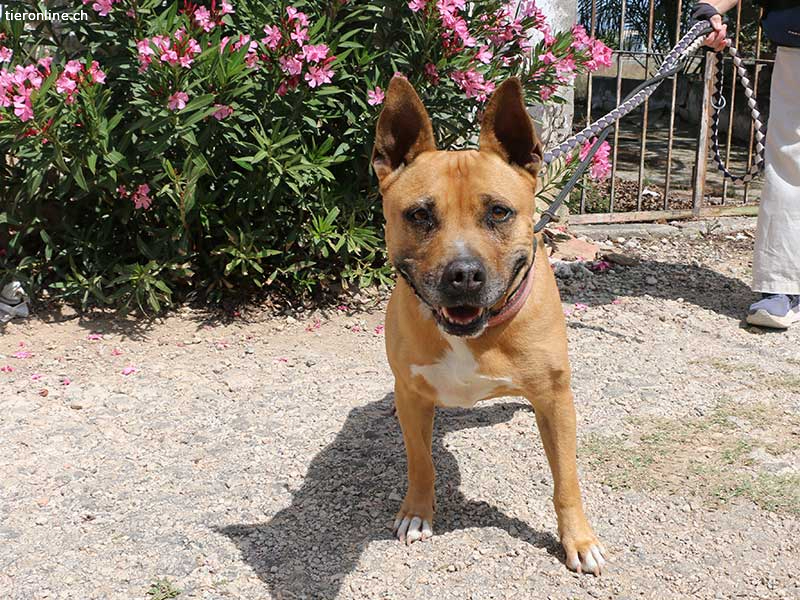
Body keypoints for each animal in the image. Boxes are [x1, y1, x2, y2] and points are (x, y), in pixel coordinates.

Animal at [372, 76, 606, 575]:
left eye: (499, 212)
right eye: (419, 214)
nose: (463, 274)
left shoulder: (555, 402)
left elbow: (566, 481)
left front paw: (578, 541)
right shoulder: (414, 397)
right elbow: (420, 462)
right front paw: (417, 512)